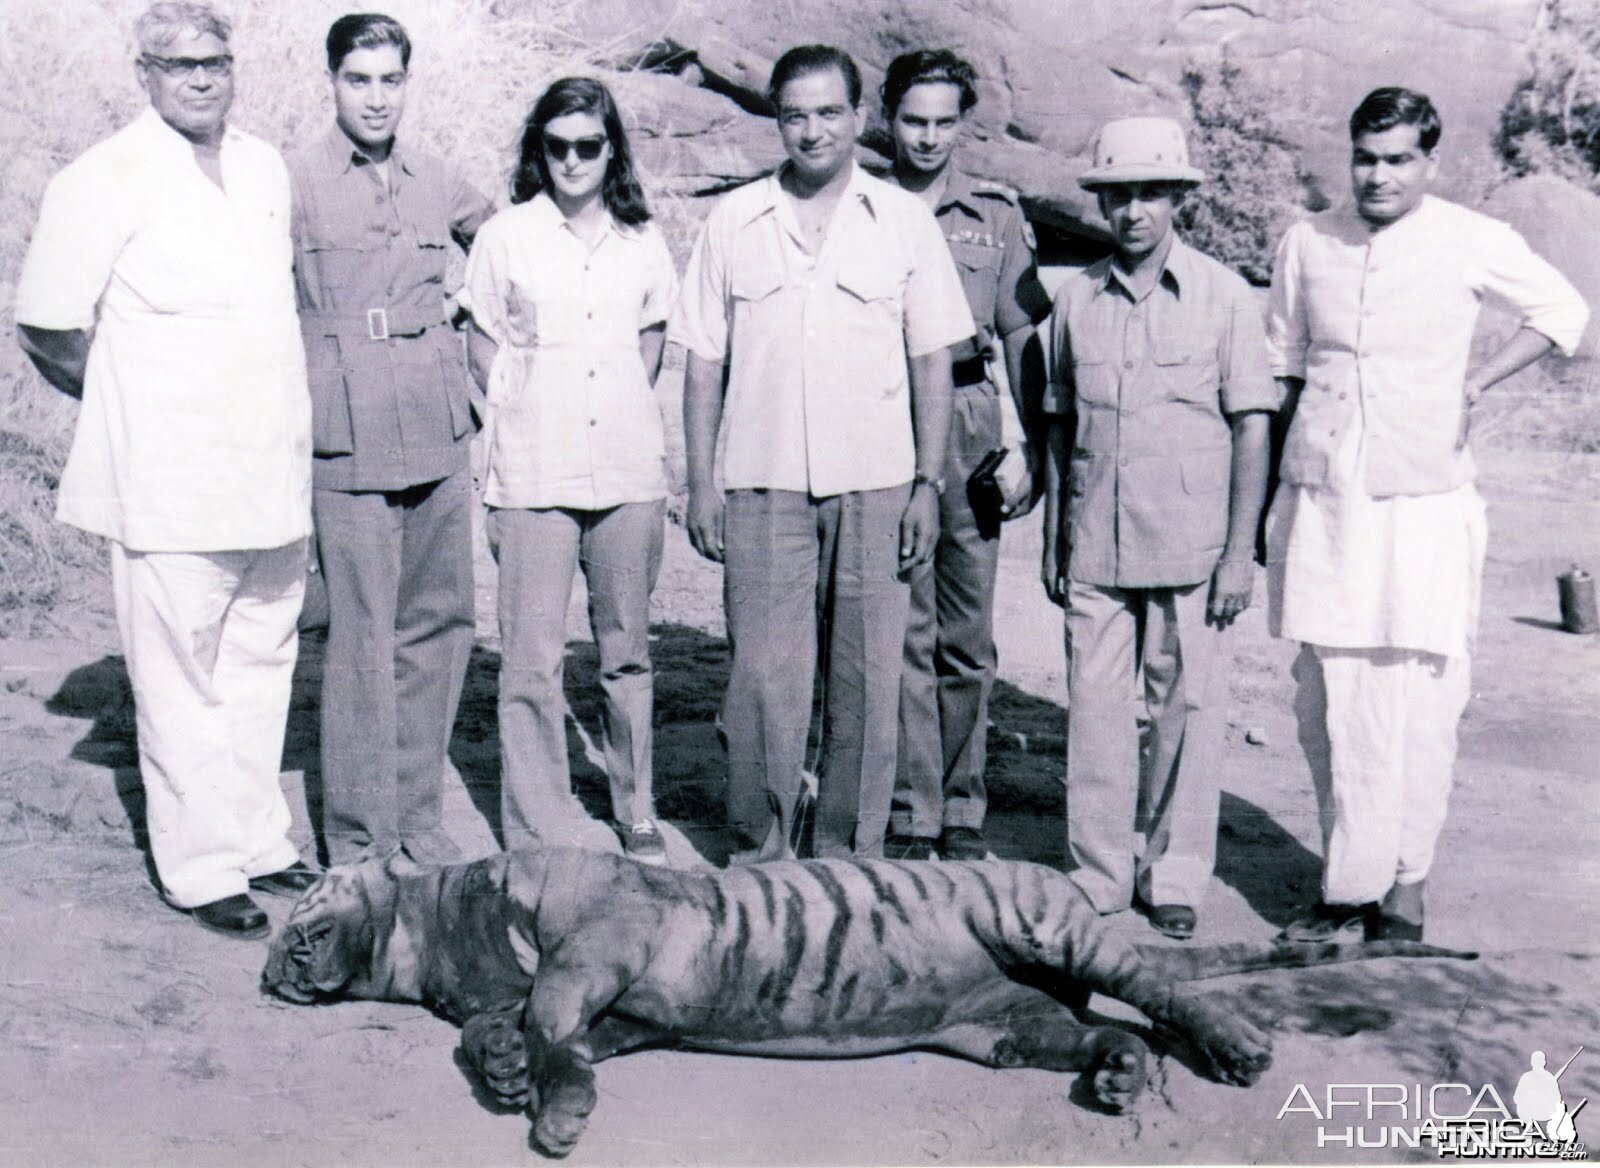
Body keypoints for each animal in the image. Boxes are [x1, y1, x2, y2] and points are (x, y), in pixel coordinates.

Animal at [259, 844, 1472, 1158]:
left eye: (304, 902)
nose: (267, 963)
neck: (437, 935)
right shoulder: (623, 1011)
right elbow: (499, 1031)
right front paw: (507, 1066)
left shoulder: (596, 943)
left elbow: (550, 1022)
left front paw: (553, 1107)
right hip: (1010, 1025)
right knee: (1104, 1030)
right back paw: (1125, 1074)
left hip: (1048, 924)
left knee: (1163, 988)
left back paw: (1236, 1045)